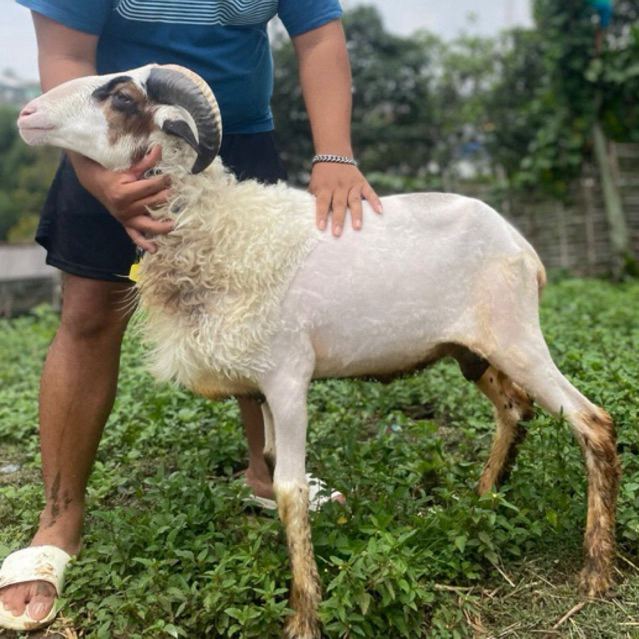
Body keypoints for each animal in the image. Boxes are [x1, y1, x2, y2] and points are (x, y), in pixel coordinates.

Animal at [18, 63, 620, 639]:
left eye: (121, 98)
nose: (26, 113)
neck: (222, 228)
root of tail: (523, 246)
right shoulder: (262, 385)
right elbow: (267, 461)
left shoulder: (288, 379)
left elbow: (289, 490)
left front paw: (304, 616)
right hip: (468, 349)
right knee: (514, 408)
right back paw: (483, 502)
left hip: (517, 337)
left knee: (592, 421)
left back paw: (595, 572)